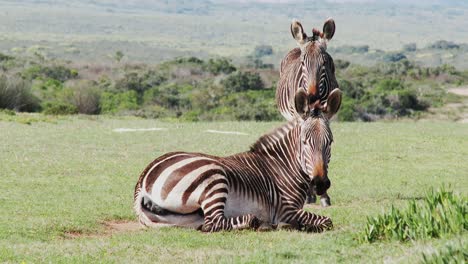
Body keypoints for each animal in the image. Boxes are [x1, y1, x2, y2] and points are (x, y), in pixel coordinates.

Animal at [133, 89, 342, 233]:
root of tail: (143, 179)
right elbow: (326, 221)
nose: (320, 183)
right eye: (304, 142)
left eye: (330, 142)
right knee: (215, 223)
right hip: (214, 178)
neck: (284, 166)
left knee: (205, 224)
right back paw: (262, 223)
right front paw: (298, 225)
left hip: (179, 219)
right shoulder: (285, 209)